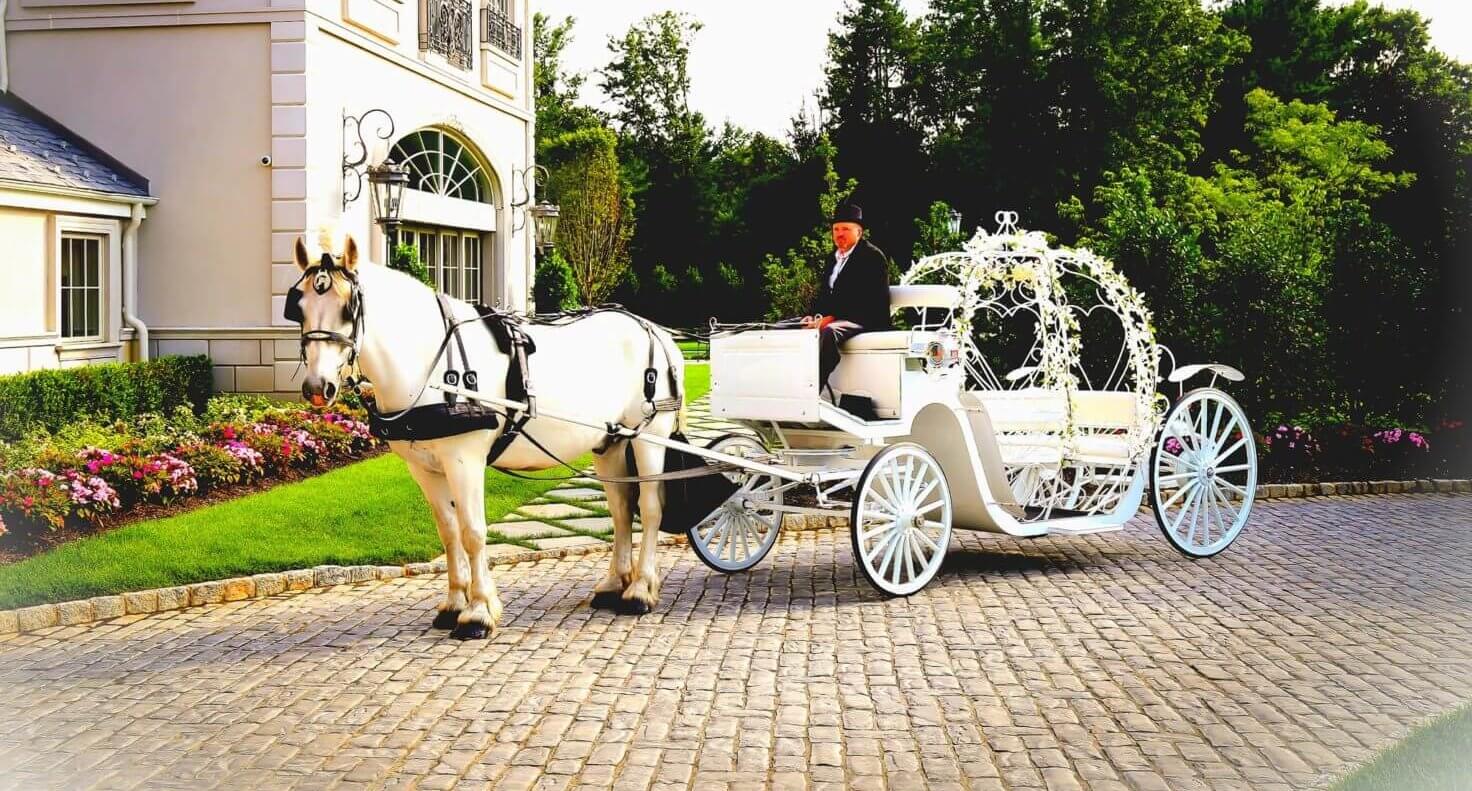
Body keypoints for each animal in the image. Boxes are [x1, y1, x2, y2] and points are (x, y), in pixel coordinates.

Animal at [287, 230, 684, 639]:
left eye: (348, 308)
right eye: (298, 307)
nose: (317, 387)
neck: (430, 363)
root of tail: (657, 332)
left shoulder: (464, 460)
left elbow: (473, 532)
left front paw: (478, 612)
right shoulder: (424, 467)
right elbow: (448, 532)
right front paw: (453, 604)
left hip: (650, 435)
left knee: (650, 508)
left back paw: (640, 590)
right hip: (611, 441)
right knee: (621, 509)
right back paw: (614, 584)